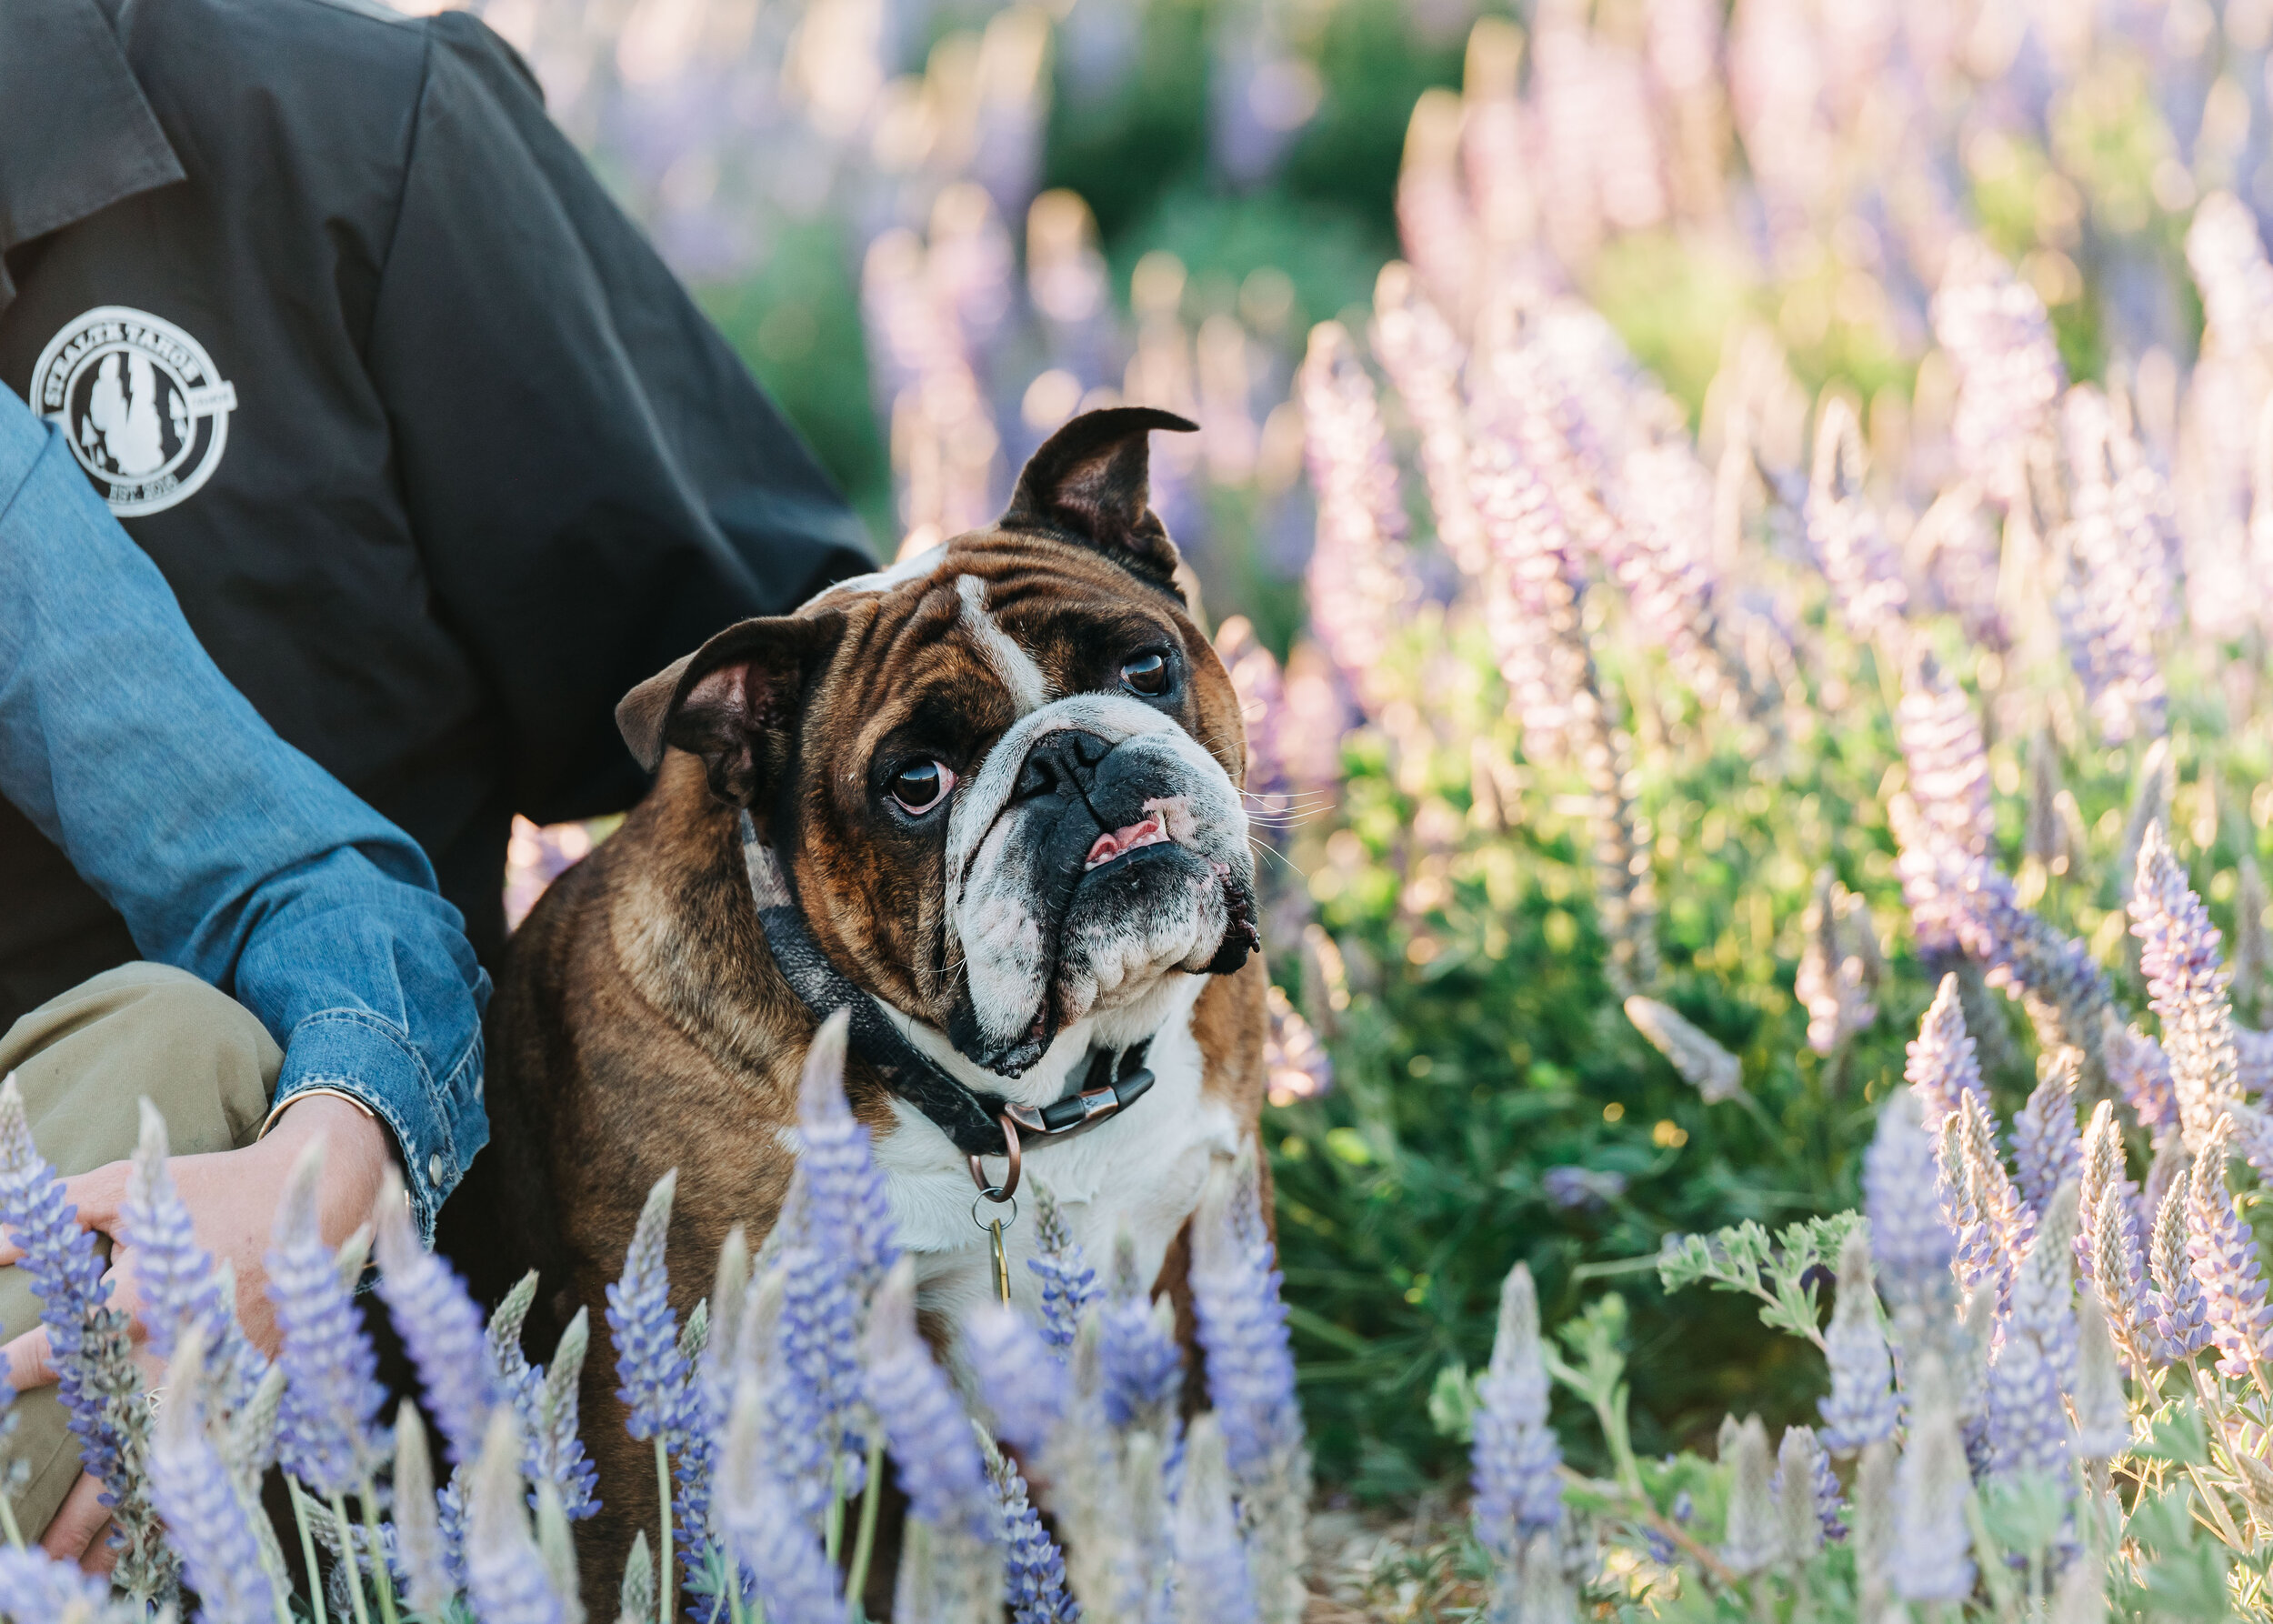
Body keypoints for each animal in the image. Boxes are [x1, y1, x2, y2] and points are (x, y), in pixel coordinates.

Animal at [473, 406, 1273, 1582]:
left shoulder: (1204, 1235)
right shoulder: (653, 1366)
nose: (1070, 754)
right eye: (915, 785)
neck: (1028, 1096)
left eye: (1146, 665)